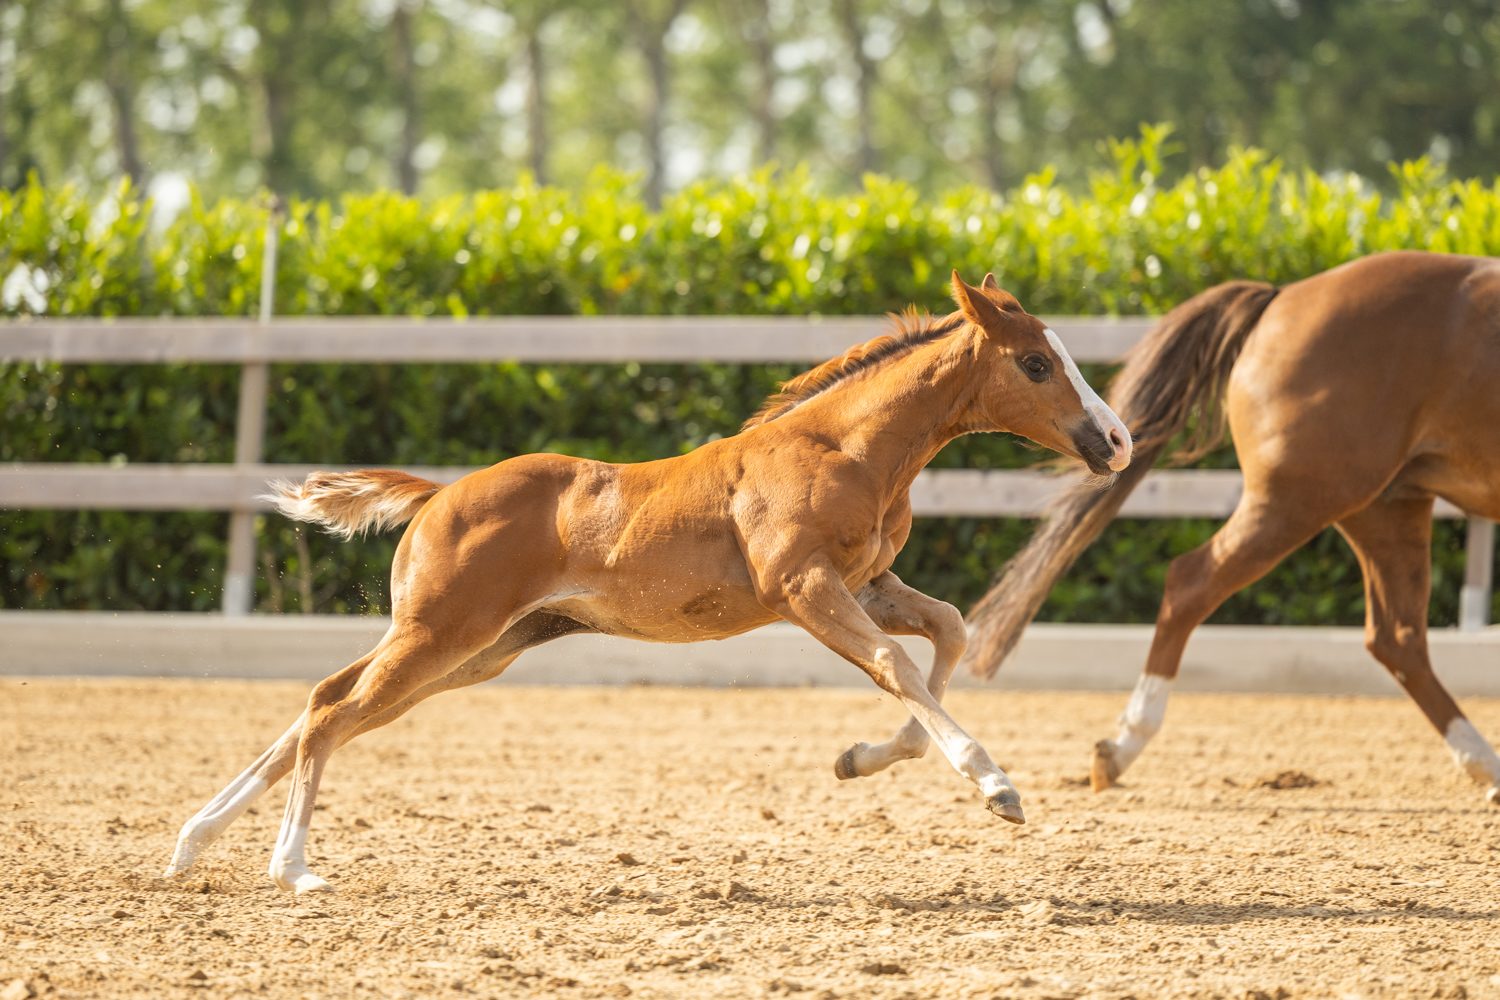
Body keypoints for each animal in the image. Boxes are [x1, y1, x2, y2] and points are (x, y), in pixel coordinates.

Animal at [162, 272, 1133, 894]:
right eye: (1037, 363)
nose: (1116, 440)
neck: (842, 448)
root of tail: (438, 496)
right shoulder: (803, 587)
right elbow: (898, 663)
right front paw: (994, 785)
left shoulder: (869, 582)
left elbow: (952, 629)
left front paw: (862, 758)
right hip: (442, 634)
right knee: (331, 711)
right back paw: (291, 867)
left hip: (479, 649)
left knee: (322, 703)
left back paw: (191, 844)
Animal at [964, 250, 1500, 806]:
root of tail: (1282, 298)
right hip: (1302, 499)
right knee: (1191, 582)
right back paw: (1123, 744)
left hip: (1386, 506)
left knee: (1398, 637)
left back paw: (1485, 765)